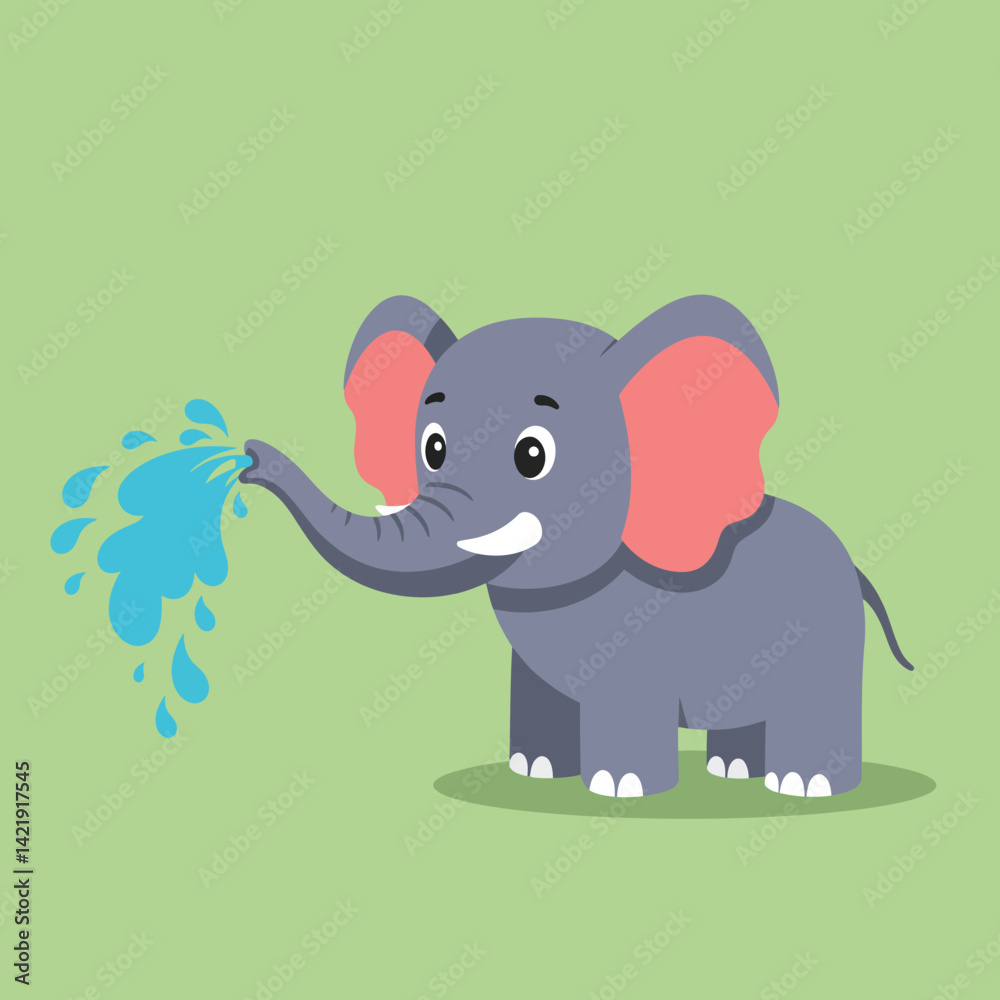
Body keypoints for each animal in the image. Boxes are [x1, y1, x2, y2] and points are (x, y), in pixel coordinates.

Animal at [240, 294, 915, 798]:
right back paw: (735, 771)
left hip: (826, 633)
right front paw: (534, 772)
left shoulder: (640, 634)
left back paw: (802, 785)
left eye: (532, 455)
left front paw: (620, 787)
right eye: (431, 447)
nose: (247, 460)